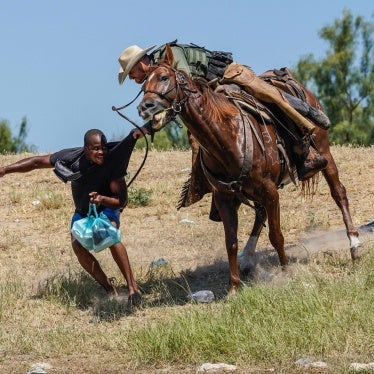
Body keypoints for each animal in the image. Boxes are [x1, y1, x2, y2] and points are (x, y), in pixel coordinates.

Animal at [136, 43, 360, 296]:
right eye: (143, 86)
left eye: (164, 77)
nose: (145, 107)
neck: (227, 136)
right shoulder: (225, 197)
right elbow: (231, 241)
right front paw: (233, 287)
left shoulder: (270, 192)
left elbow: (276, 235)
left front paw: (286, 272)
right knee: (260, 213)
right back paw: (247, 257)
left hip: (324, 153)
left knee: (339, 193)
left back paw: (354, 244)